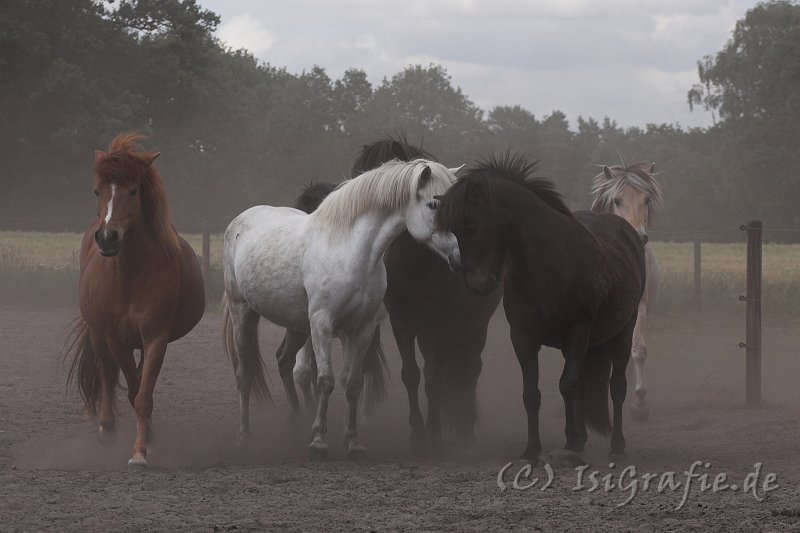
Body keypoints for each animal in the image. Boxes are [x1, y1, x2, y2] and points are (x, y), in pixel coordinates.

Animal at [66, 134, 206, 466]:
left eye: (132, 191)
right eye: (97, 191)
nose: (107, 238)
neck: (131, 274)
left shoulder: (155, 336)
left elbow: (143, 395)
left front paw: (142, 451)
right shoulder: (115, 338)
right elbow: (129, 389)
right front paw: (139, 445)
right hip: (98, 334)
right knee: (106, 371)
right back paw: (106, 428)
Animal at [225, 159, 462, 458]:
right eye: (432, 204)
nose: (457, 257)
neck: (349, 251)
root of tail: (239, 221)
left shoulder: (361, 329)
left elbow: (352, 383)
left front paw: (353, 442)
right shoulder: (322, 324)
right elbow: (325, 380)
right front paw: (318, 442)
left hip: (297, 325)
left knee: (284, 361)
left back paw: (297, 425)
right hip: (243, 313)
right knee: (244, 374)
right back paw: (245, 437)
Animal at [438, 152, 644, 460]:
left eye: (473, 225)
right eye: (453, 230)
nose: (477, 284)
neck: (547, 266)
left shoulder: (577, 334)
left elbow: (567, 385)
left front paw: (571, 441)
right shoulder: (523, 339)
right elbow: (531, 394)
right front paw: (533, 448)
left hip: (623, 332)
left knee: (616, 387)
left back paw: (616, 447)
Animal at [592, 161, 664, 420]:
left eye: (647, 199)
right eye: (617, 200)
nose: (636, 236)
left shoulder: (638, 308)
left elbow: (638, 350)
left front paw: (639, 405)